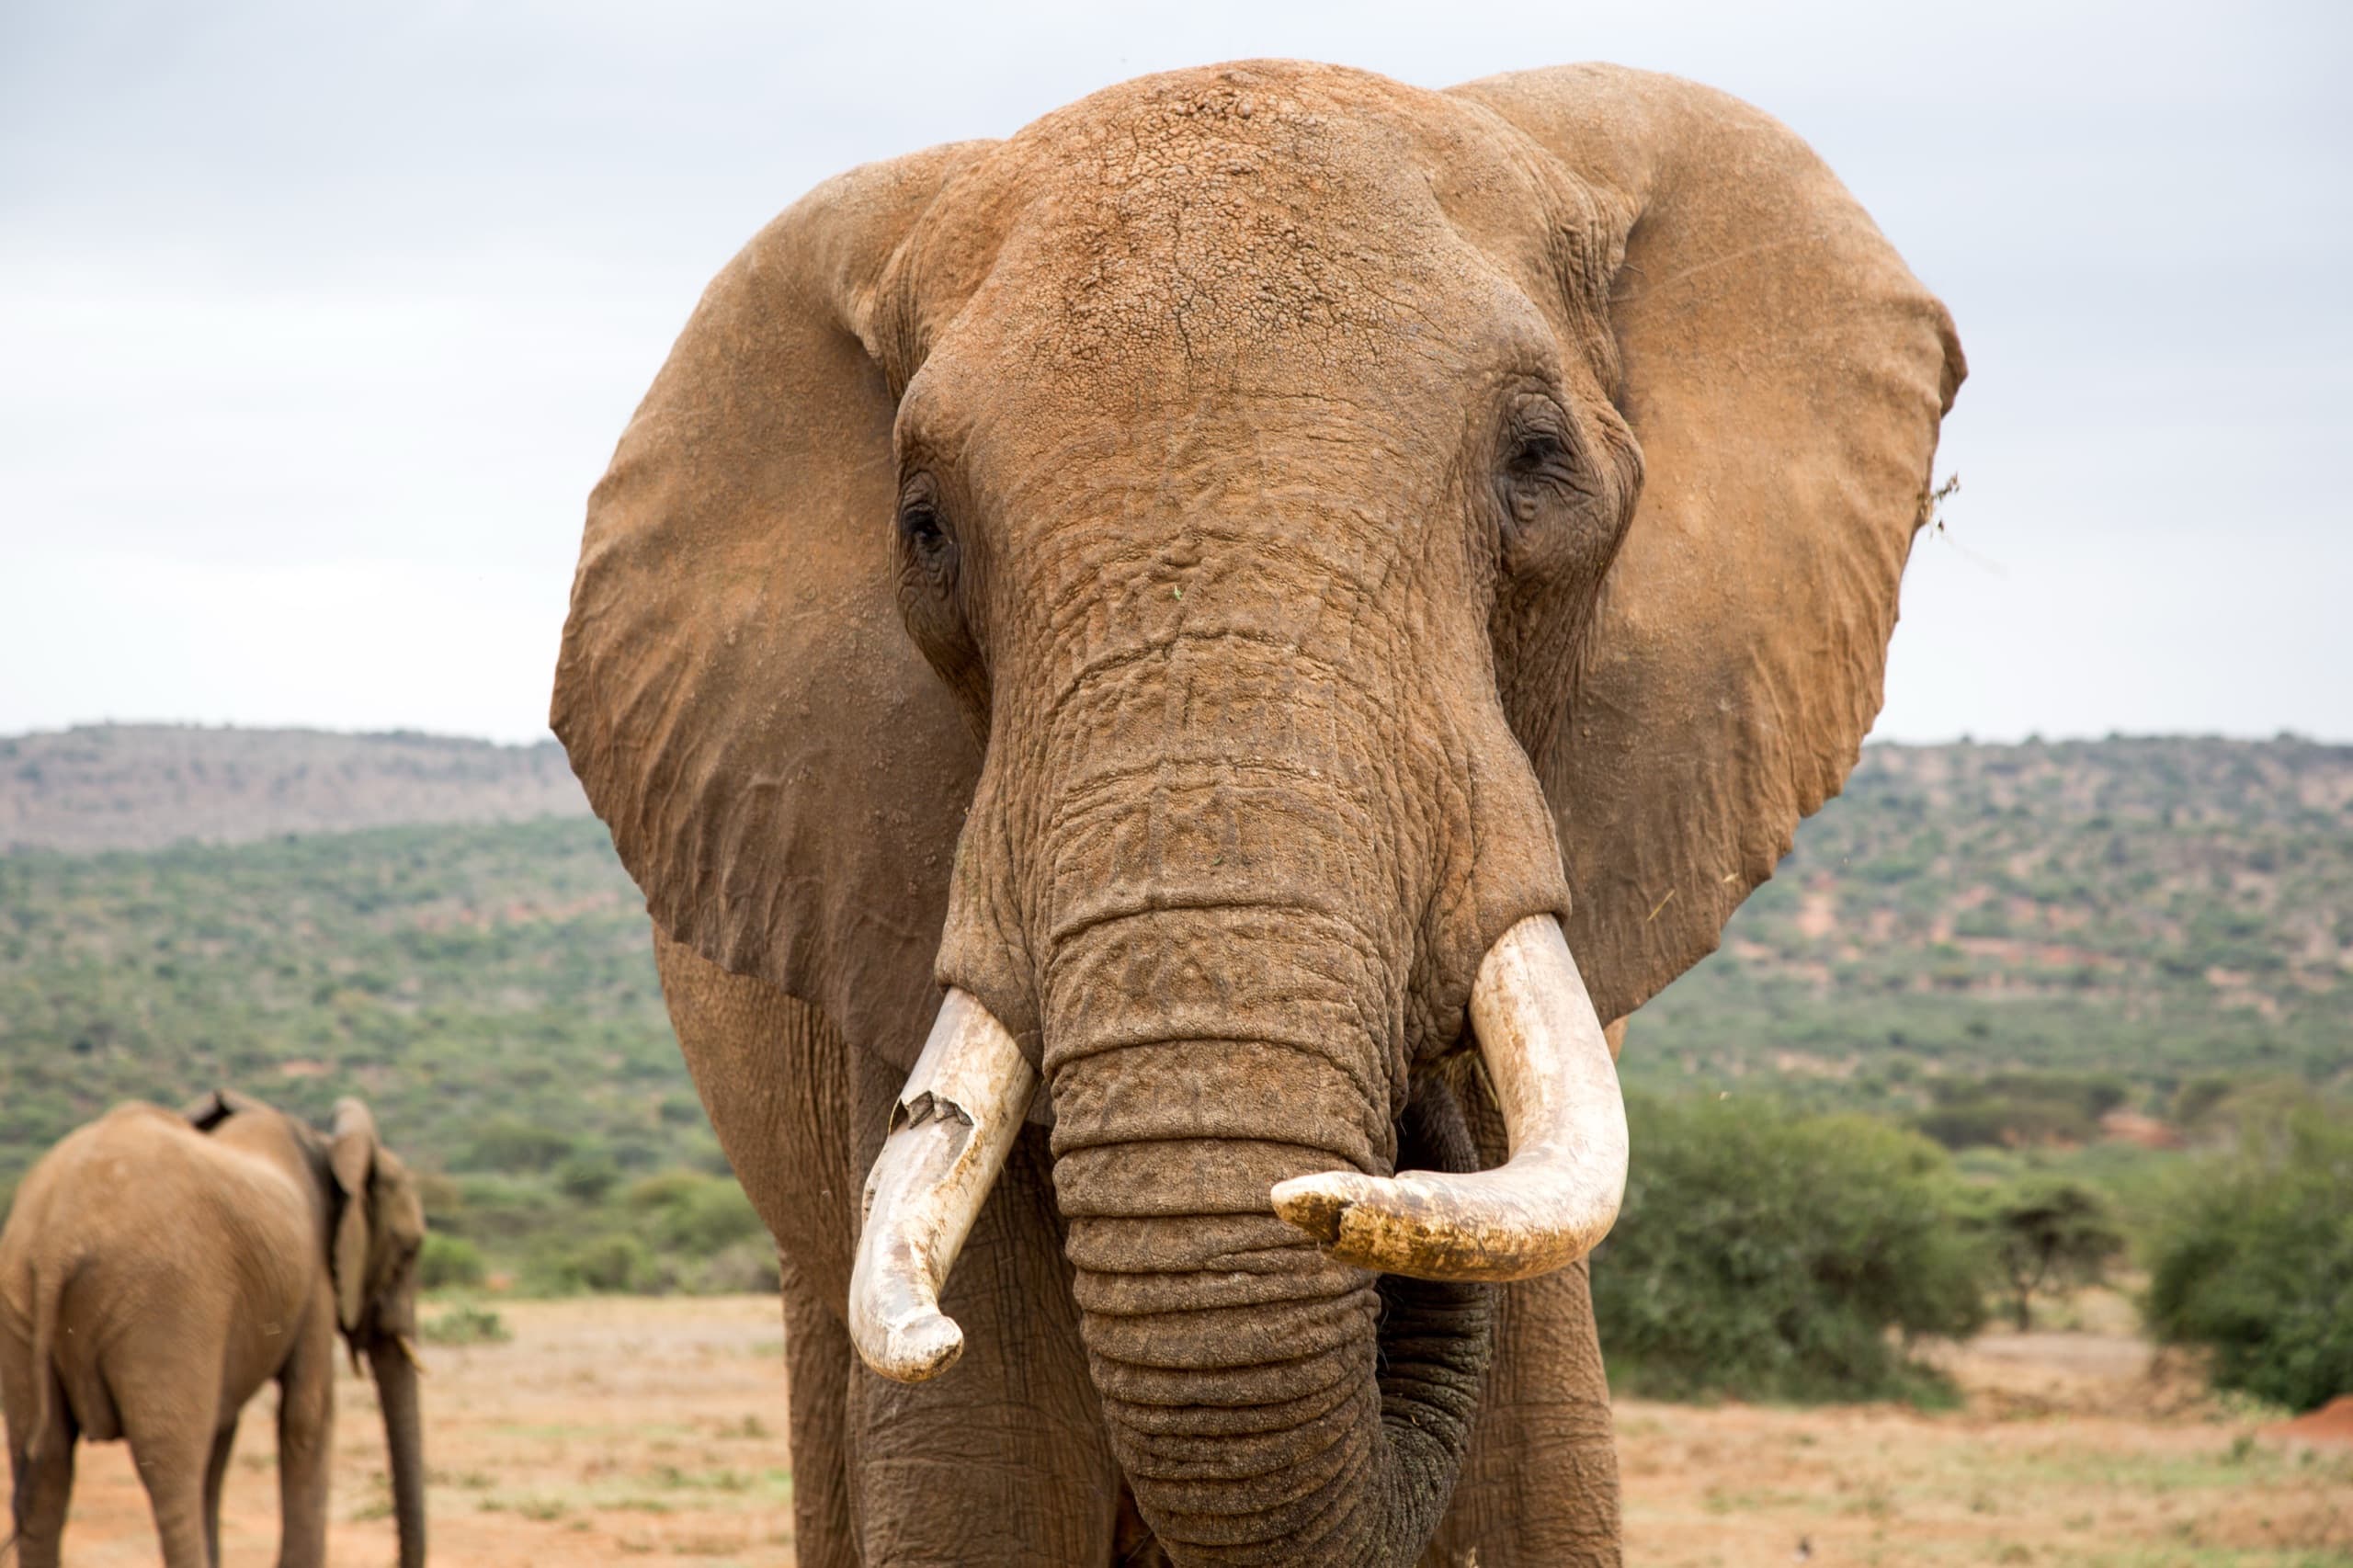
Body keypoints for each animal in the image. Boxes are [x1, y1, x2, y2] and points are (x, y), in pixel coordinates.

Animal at [0, 1092, 426, 1568]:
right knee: (172, 1472)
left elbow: (223, 1434)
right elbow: (307, 1417)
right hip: (163, 1300)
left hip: (19, 1296)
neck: (328, 1145)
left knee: (45, 1467)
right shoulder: (314, 1283)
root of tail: (57, 1239)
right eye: (409, 1250)